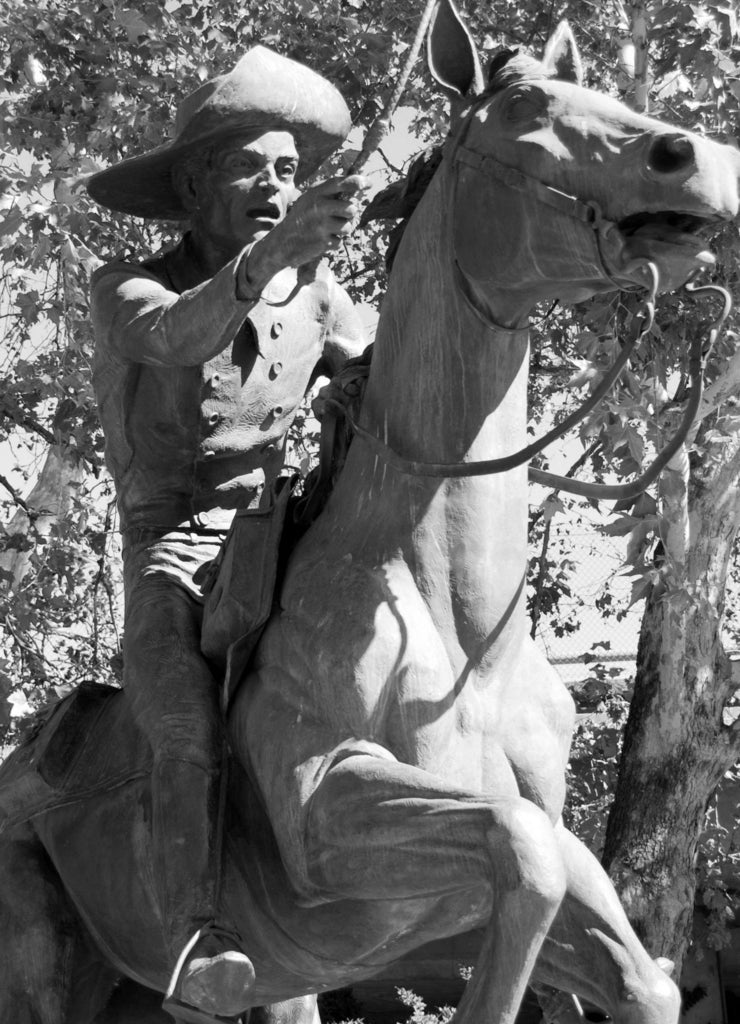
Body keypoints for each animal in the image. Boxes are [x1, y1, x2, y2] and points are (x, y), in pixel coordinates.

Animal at [1, 4, 740, 1019]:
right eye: (523, 108)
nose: (698, 157)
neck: (464, 634)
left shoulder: (496, 897)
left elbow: (632, 968)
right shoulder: (328, 813)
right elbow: (523, 851)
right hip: (44, 963)